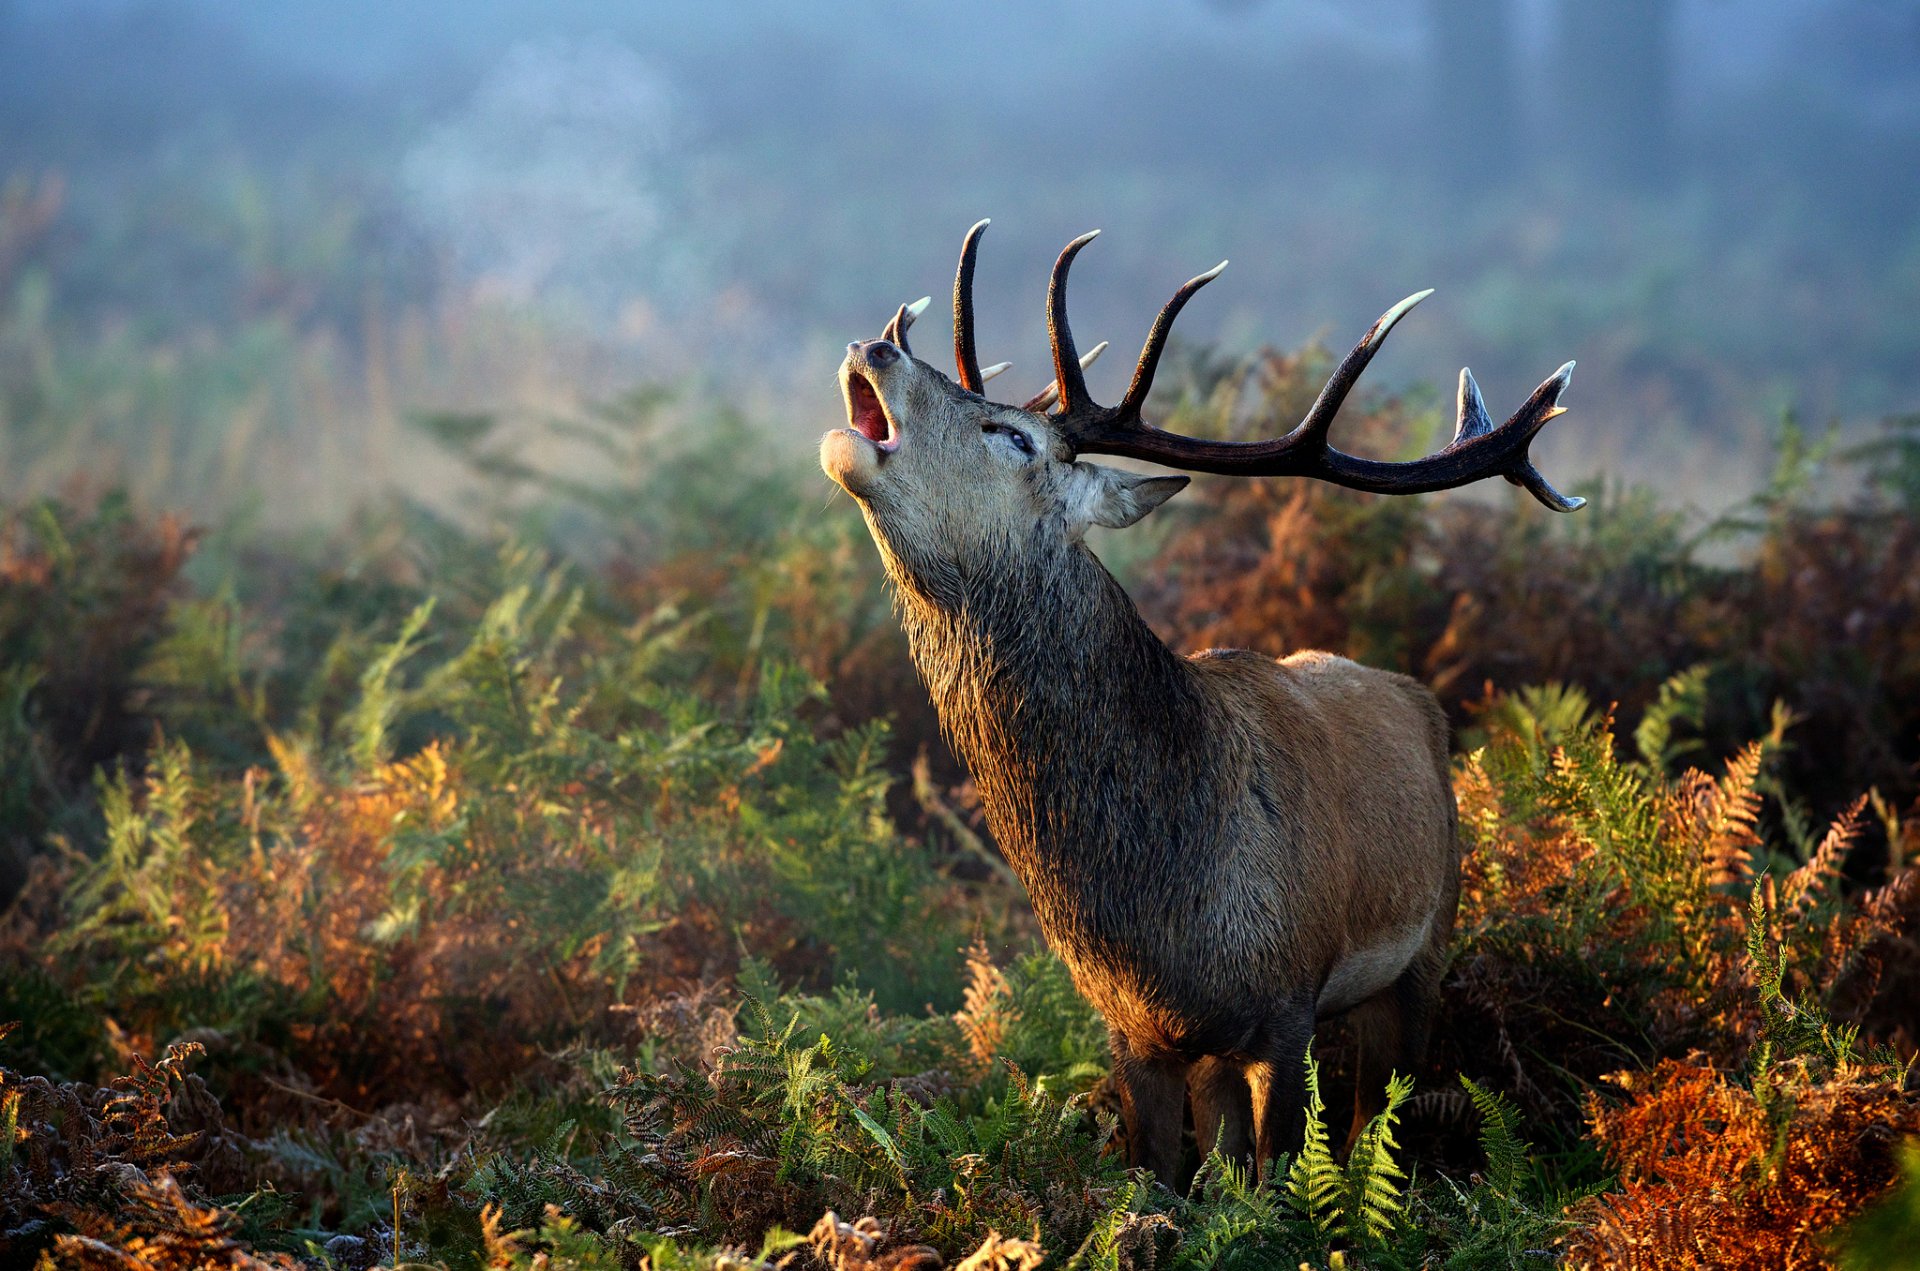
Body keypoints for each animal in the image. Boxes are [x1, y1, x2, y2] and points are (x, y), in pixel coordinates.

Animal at [818, 221, 1584, 1188]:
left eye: (1013, 435)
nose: (875, 345)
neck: (1161, 907)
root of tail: (1417, 699)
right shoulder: (1132, 1029)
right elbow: (1165, 1177)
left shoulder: (1289, 1002)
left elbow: (1286, 1173)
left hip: (1426, 948)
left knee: (1377, 1121)